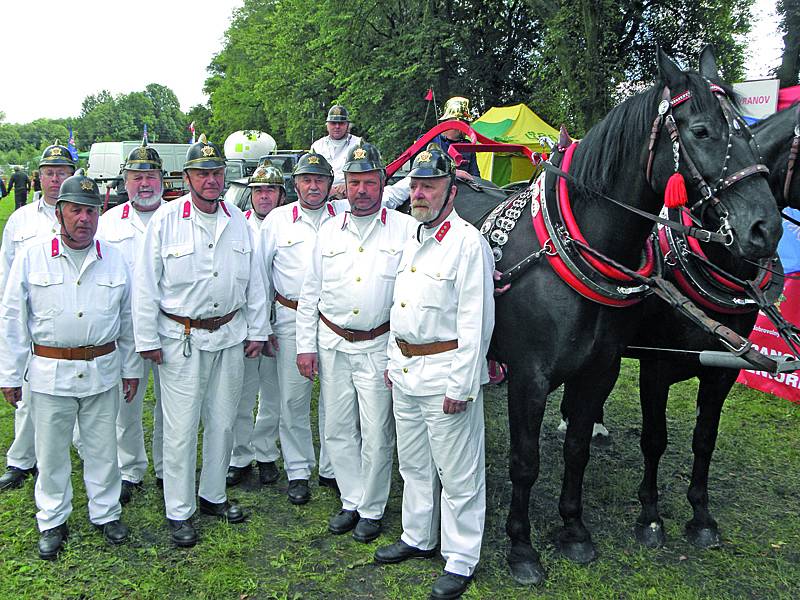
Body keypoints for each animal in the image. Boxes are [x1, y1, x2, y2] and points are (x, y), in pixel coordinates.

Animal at [488, 49, 780, 584]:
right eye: (702, 131)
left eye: (750, 136)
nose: (764, 228)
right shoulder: (532, 376)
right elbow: (526, 461)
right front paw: (522, 546)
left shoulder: (606, 370)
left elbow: (581, 449)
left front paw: (574, 530)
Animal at [624, 96, 800, 552]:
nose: (764, 230)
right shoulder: (655, 364)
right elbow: (655, 438)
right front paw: (650, 516)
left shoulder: (724, 371)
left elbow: (705, 439)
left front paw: (701, 516)